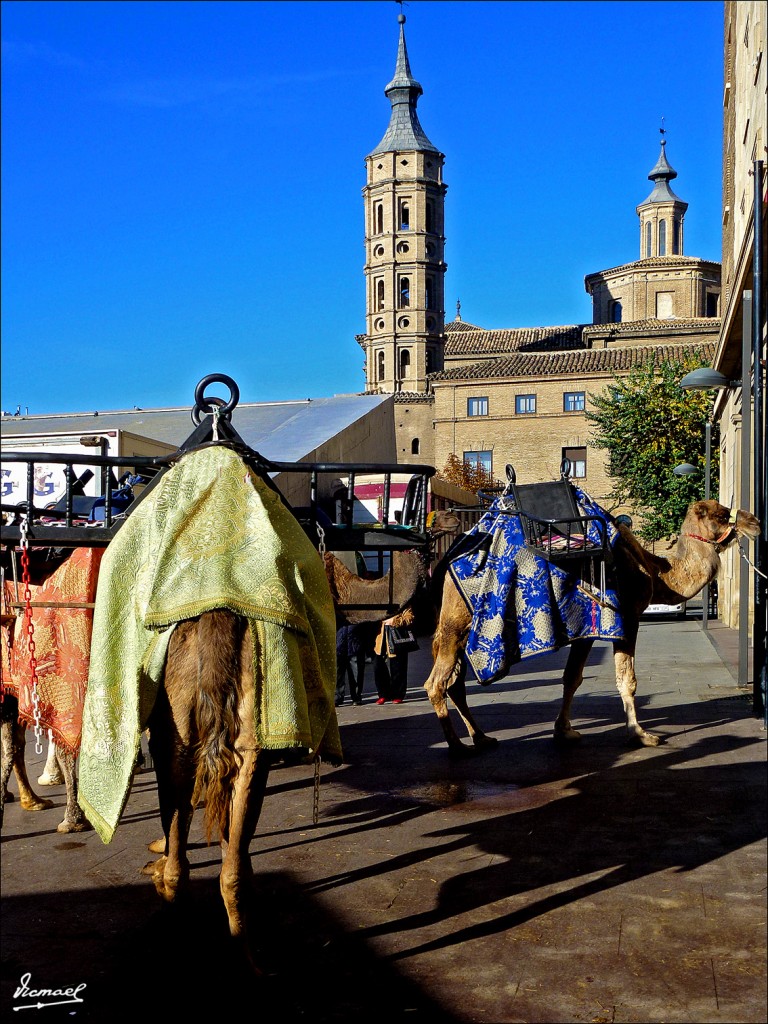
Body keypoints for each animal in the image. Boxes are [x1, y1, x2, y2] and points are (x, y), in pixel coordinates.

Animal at [428, 477, 765, 753]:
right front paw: (641, 735)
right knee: (437, 682)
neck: (656, 571)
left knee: (454, 683)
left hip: (464, 627)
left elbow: (572, 678)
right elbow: (627, 679)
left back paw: (482, 737)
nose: (755, 522)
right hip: (454, 621)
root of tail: (447, 562)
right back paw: (456, 746)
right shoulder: (627, 617)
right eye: (722, 514)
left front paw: (564, 732)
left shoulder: (585, 627)